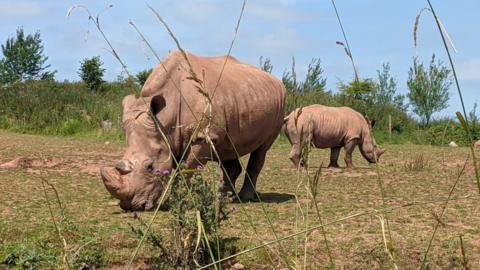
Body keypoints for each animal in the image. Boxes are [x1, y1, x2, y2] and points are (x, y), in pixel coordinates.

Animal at [100, 50, 284, 211]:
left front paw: (173, 201)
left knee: (261, 150)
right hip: (237, 98)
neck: (165, 117)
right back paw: (224, 197)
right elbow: (180, 168)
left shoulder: (201, 136)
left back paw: (245, 197)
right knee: (227, 149)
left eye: (150, 167)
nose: (130, 206)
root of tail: (277, 81)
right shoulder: (173, 138)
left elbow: (185, 168)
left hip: (279, 104)